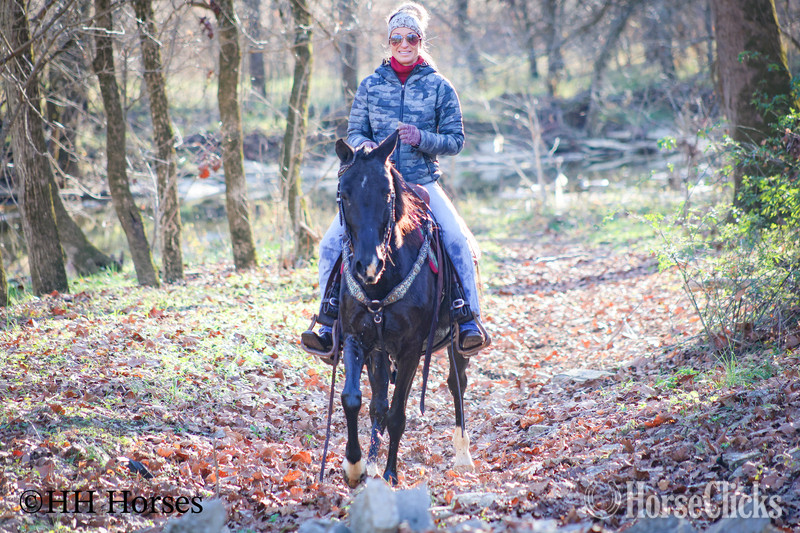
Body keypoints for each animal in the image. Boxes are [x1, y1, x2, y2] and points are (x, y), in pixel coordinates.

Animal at [333, 130, 475, 487]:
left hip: (457, 343)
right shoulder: (358, 339)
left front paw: (390, 474)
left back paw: (463, 455)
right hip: (382, 352)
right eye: (344, 194)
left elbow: (398, 414)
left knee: (457, 384)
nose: (367, 265)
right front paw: (357, 465)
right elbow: (357, 400)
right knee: (380, 401)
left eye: (387, 193)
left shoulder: (412, 348)